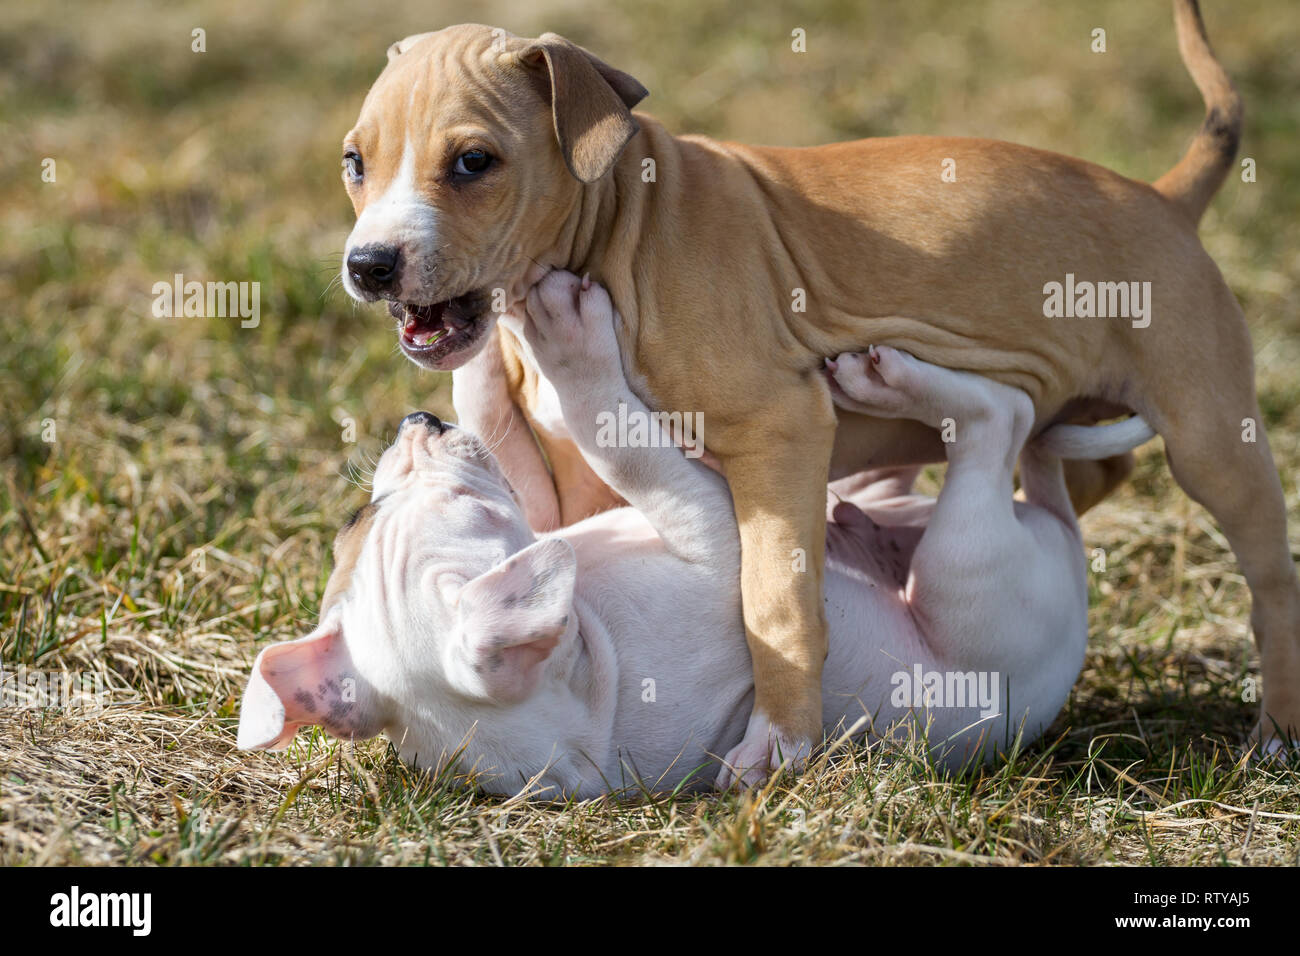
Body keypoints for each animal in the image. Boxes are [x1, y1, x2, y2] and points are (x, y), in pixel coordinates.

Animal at [239, 273, 1154, 796]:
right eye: (477, 509)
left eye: (355, 521)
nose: (418, 421)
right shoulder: (710, 532)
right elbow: (615, 433)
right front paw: (568, 340)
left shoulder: (570, 506)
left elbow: (530, 432)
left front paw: (480, 360)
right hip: (971, 563)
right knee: (1001, 423)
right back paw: (895, 383)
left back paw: (872, 453)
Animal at [338, 1, 1300, 780]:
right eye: (354, 163)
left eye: (474, 162)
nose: (369, 266)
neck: (618, 227)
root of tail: (1166, 198)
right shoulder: (579, 473)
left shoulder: (778, 429)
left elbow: (775, 596)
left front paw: (782, 742)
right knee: (1065, 460)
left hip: (1213, 437)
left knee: (1269, 582)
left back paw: (1276, 736)